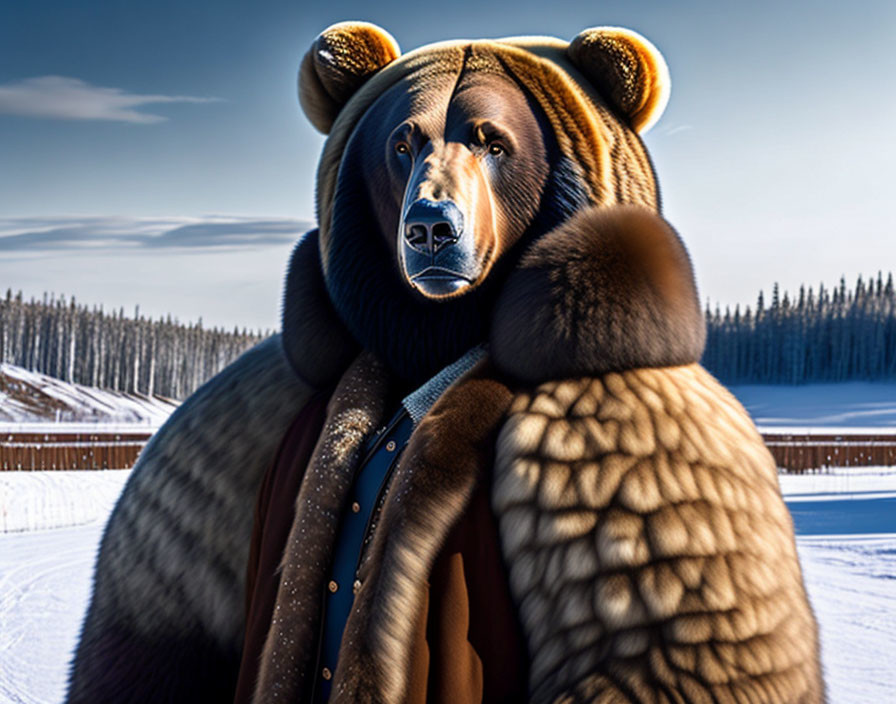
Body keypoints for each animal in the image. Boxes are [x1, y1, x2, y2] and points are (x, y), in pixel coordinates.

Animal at [68, 22, 824, 704]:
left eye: (494, 141)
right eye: (401, 144)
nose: (431, 225)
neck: (430, 355)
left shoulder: (621, 436)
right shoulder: (241, 424)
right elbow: (166, 618)